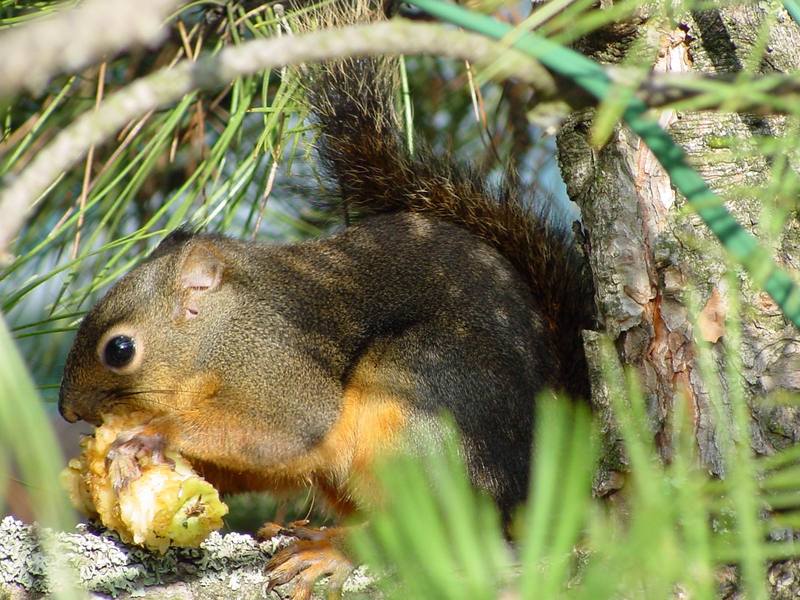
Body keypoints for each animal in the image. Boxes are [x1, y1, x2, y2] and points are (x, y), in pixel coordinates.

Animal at [57, 3, 592, 596]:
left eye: (119, 350)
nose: (67, 411)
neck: (219, 336)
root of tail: (531, 488)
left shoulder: (276, 360)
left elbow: (291, 426)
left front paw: (151, 435)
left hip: (418, 414)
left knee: (426, 530)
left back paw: (333, 549)